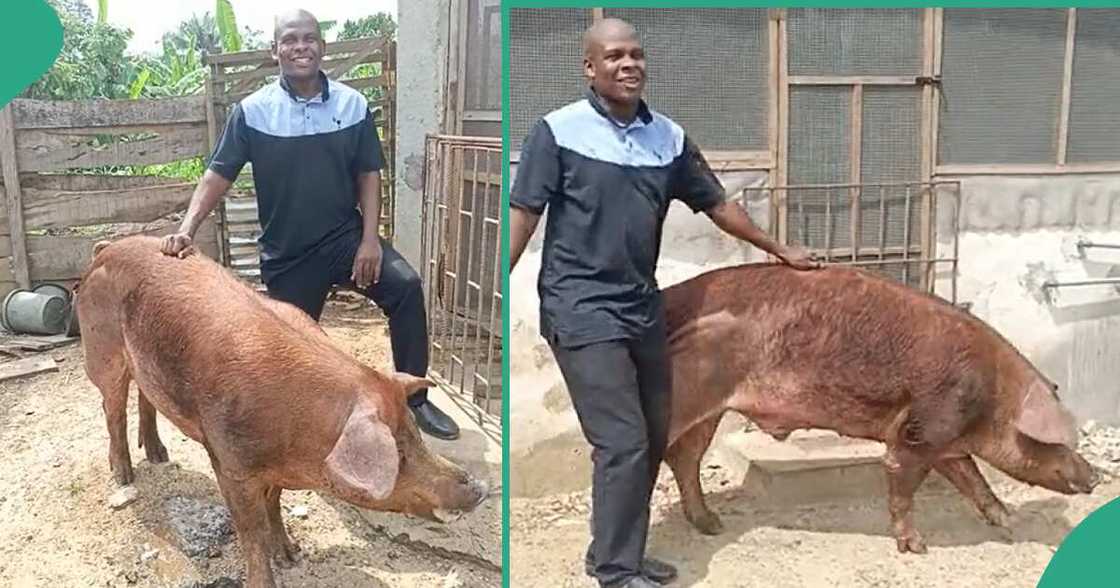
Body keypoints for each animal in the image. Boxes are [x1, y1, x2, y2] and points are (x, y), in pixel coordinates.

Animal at [74, 235, 486, 586]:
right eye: (397, 453)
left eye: (415, 434)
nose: (479, 486)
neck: (300, 439)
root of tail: (106, 248)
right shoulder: (229, 461)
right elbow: (250, 531)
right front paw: (268, 573)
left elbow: (275, 504)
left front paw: (291, 555)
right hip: (102, 349)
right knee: (112, 408)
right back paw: (124, 476)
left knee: (145, 396)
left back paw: (159, 456)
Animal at [658, 263, 1097, 553]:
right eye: (1059, 443)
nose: (1095, 476)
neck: (990, 398)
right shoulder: (919, 431)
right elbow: (902, 482)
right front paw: (916, 547)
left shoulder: (948, 443)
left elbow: (973, 479)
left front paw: (1009, 521)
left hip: (711, 410)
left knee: (685, 457)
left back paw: (711, 525)